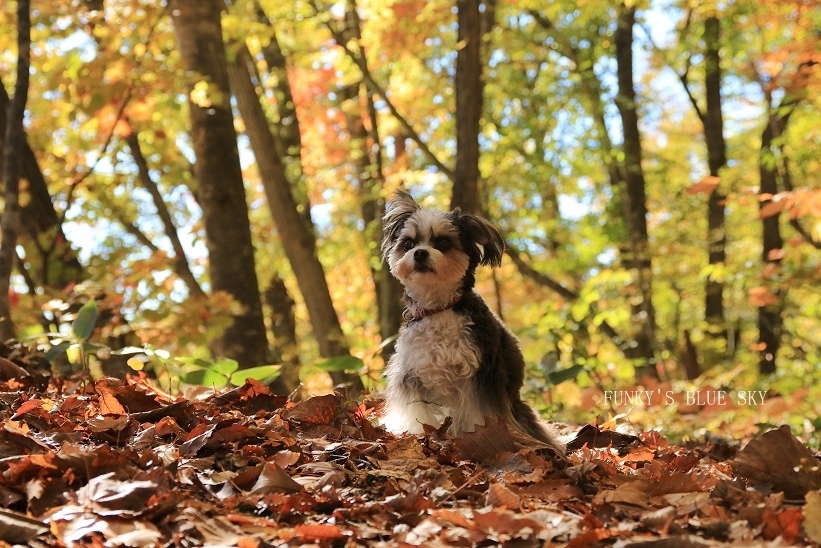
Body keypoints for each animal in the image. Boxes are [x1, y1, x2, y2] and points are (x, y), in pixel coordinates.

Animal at [380, 191, 560, 452]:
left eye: (444, 243)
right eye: (409, 243)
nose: (420, 253)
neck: (439, 308)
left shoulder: (482, 376)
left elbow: (479, 415)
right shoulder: (411, 375)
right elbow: (416, 412)